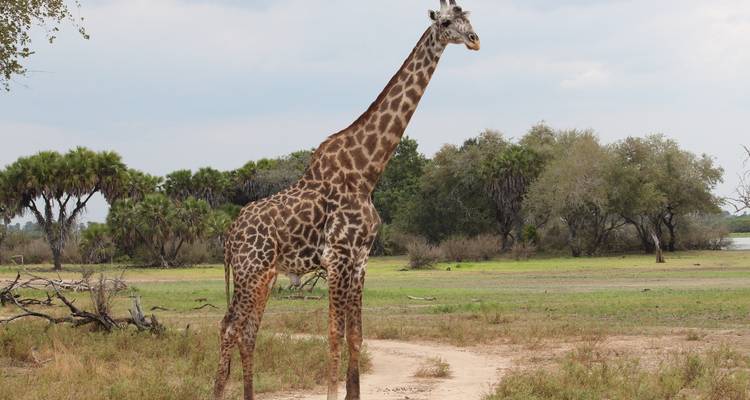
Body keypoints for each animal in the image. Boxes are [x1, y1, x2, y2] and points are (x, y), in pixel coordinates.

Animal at [214, 1, 480, 399]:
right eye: (447, 22)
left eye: (470, 18)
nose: (475, 40)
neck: (366, 173)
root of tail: (229, 236)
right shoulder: (337, 258)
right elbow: (334, 337)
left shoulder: (360, 261)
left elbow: (356, 337)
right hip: (251, 269)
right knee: (229, 327)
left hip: (264, 275)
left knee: (247, 332)